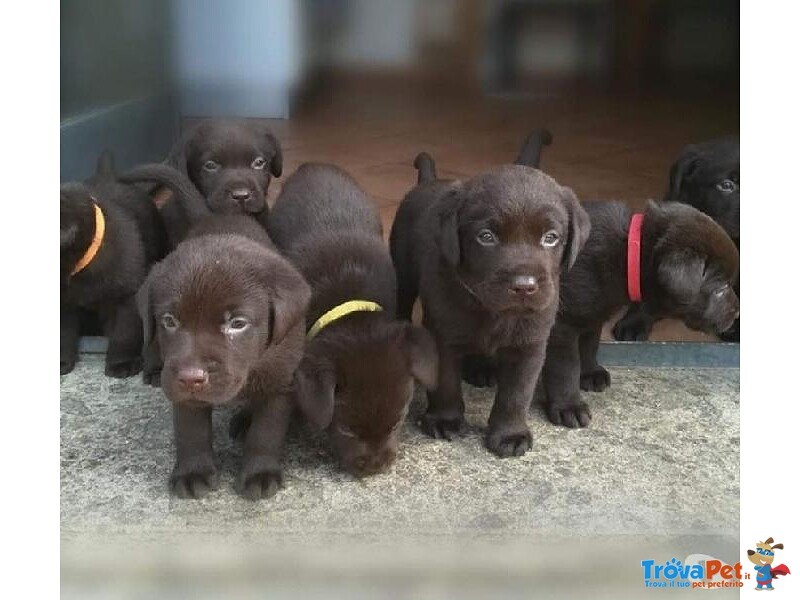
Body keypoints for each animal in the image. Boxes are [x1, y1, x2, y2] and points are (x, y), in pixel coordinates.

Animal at [138, 218, 310, 500]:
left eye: (238, 324)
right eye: (169, 320)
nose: (191, 378)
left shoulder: (281, 381)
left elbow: (266, 432)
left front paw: (259, 473)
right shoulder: (182, 387)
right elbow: (191, 429)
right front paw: (193, 472)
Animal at [390, 149, 592, 454]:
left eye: (551, 238)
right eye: (486, 237)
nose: (524, 286)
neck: (494, 311)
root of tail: (428, 181)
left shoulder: (530, 344)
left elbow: (516, 394)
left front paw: (510, 434)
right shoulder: (442, 334)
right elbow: (446, 383)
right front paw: (445, 420)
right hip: (403, 274)